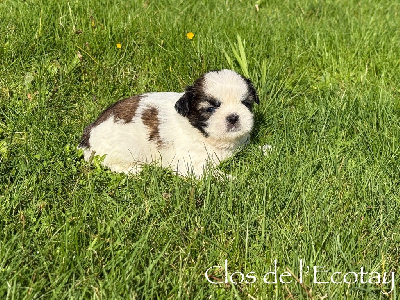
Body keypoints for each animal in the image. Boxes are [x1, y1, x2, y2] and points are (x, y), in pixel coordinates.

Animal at [78, 69, 260, 178]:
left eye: (246, 103)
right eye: (210, 109)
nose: (233, 117)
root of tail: (87, 139)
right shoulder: (190, 164)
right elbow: (210, 174)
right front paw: (232, 180)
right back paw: (133, 169)